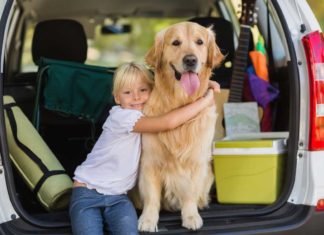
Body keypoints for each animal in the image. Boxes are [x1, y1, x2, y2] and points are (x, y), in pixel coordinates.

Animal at [137, 21, 223, 231]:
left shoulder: (196, 161)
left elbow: (190, 192)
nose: (190, 60)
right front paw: (148, 220)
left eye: (200, 42)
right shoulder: (150, 161)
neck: (180, 102)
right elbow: (152, 197)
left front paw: (191, 216)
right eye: (176, 42)